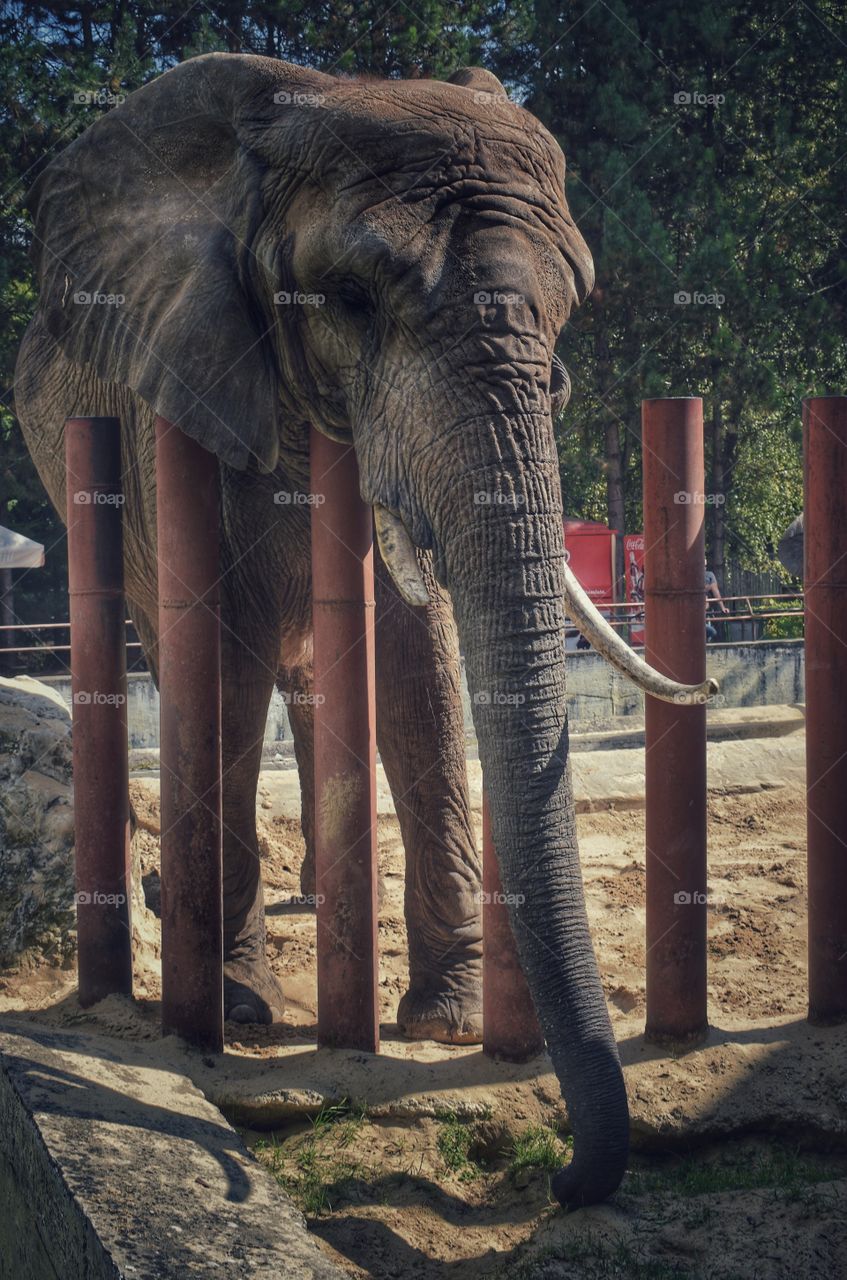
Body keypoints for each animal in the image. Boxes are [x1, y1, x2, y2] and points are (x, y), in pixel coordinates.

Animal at [15, 53, 712, 1205]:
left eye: (571, 311)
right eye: (347, 298)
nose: (560, 1180)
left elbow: (417, 663)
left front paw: (452, 1023)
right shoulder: (179, 390)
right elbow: (223, 658)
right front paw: (241, 1012)